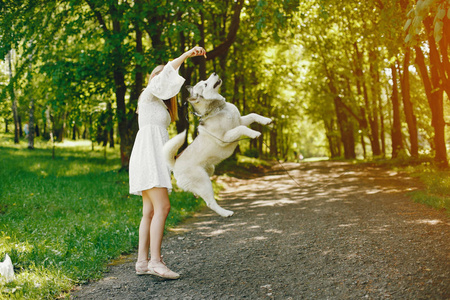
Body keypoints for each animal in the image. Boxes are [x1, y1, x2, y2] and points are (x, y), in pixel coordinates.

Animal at [163, 73, 272, 217]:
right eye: (205, 84)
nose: (214, 73)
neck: (221, 108)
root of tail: (175, 164)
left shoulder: (240, 120)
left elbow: (252, 115)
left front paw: (266, 120)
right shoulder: (225, 137)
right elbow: (242, 128)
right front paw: (254, 133)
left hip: (210, 171)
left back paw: (195, 194)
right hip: (205, 183)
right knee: (210, 203)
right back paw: (225, 213)